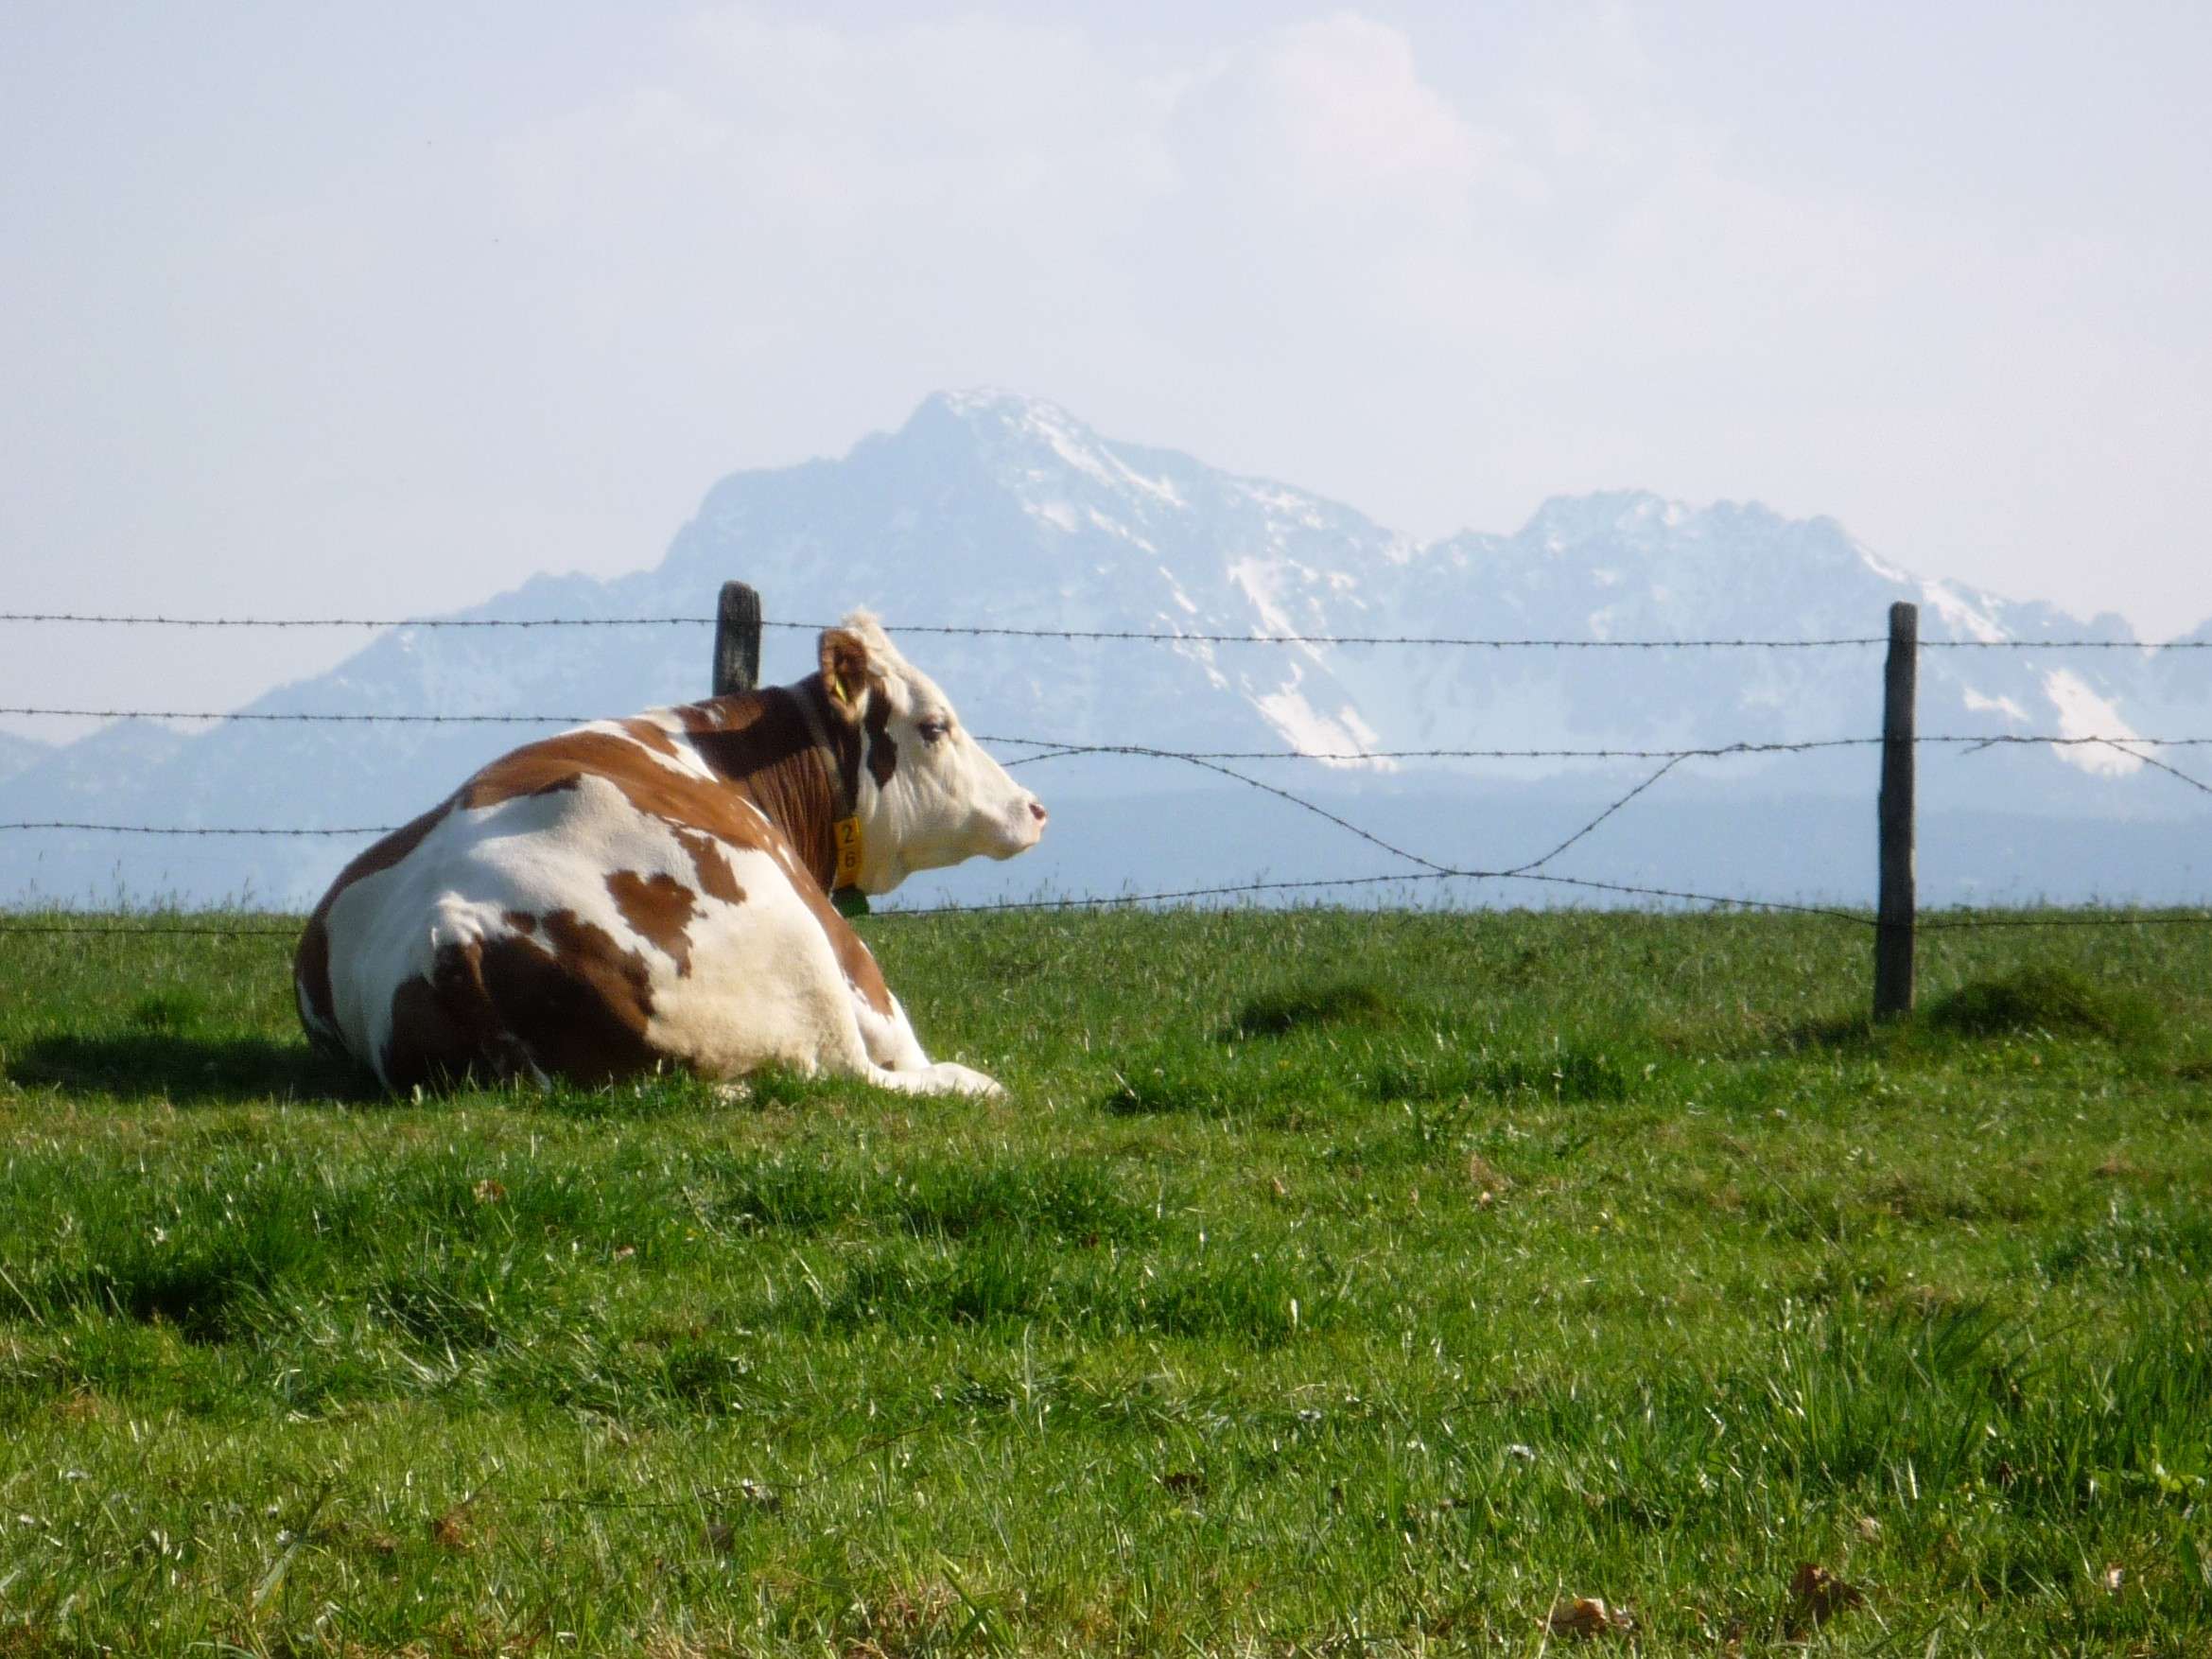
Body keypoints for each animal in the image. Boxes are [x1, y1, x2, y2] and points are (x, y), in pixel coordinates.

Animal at [293, 613, 1046, 1097]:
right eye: (935, 726)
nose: (1033, 808)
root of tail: (451, 928)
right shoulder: (842, 948)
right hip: (800, 954)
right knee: (855, 1074)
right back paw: (971, 1082)